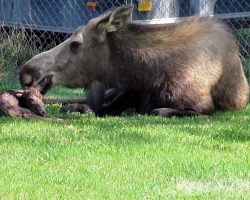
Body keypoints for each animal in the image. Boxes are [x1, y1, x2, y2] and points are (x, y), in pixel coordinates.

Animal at [19, 5, 248, 117]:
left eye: (75, 44)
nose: (26, 73)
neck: (145, 75)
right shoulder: (128, 92)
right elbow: (98, 108)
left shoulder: (202, 105)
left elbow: (158, 110)